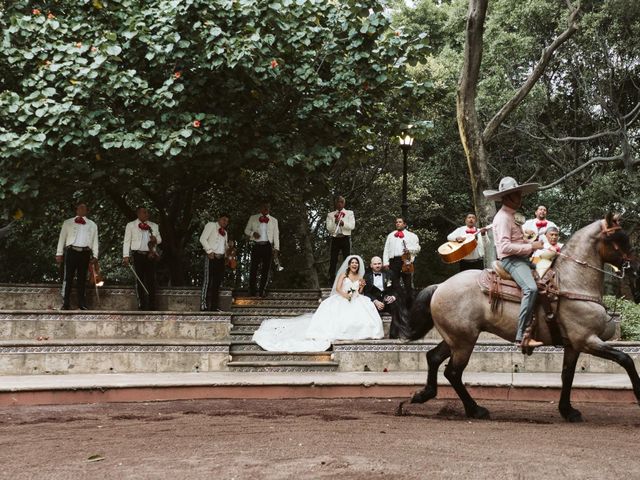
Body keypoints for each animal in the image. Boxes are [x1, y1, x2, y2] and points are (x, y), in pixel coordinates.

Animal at [398, 213, 636, 420]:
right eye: (618, 238)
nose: (634, 268)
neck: (571, 282)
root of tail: (440, 286)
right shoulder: (587, 340)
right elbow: (625, 359)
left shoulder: (573, 345)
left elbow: (567, 375)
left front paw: (567, 411)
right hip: (464, 341)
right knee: (453, 372)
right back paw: (475, 409)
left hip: (455, 338)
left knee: (434, 358)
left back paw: (424, 394)